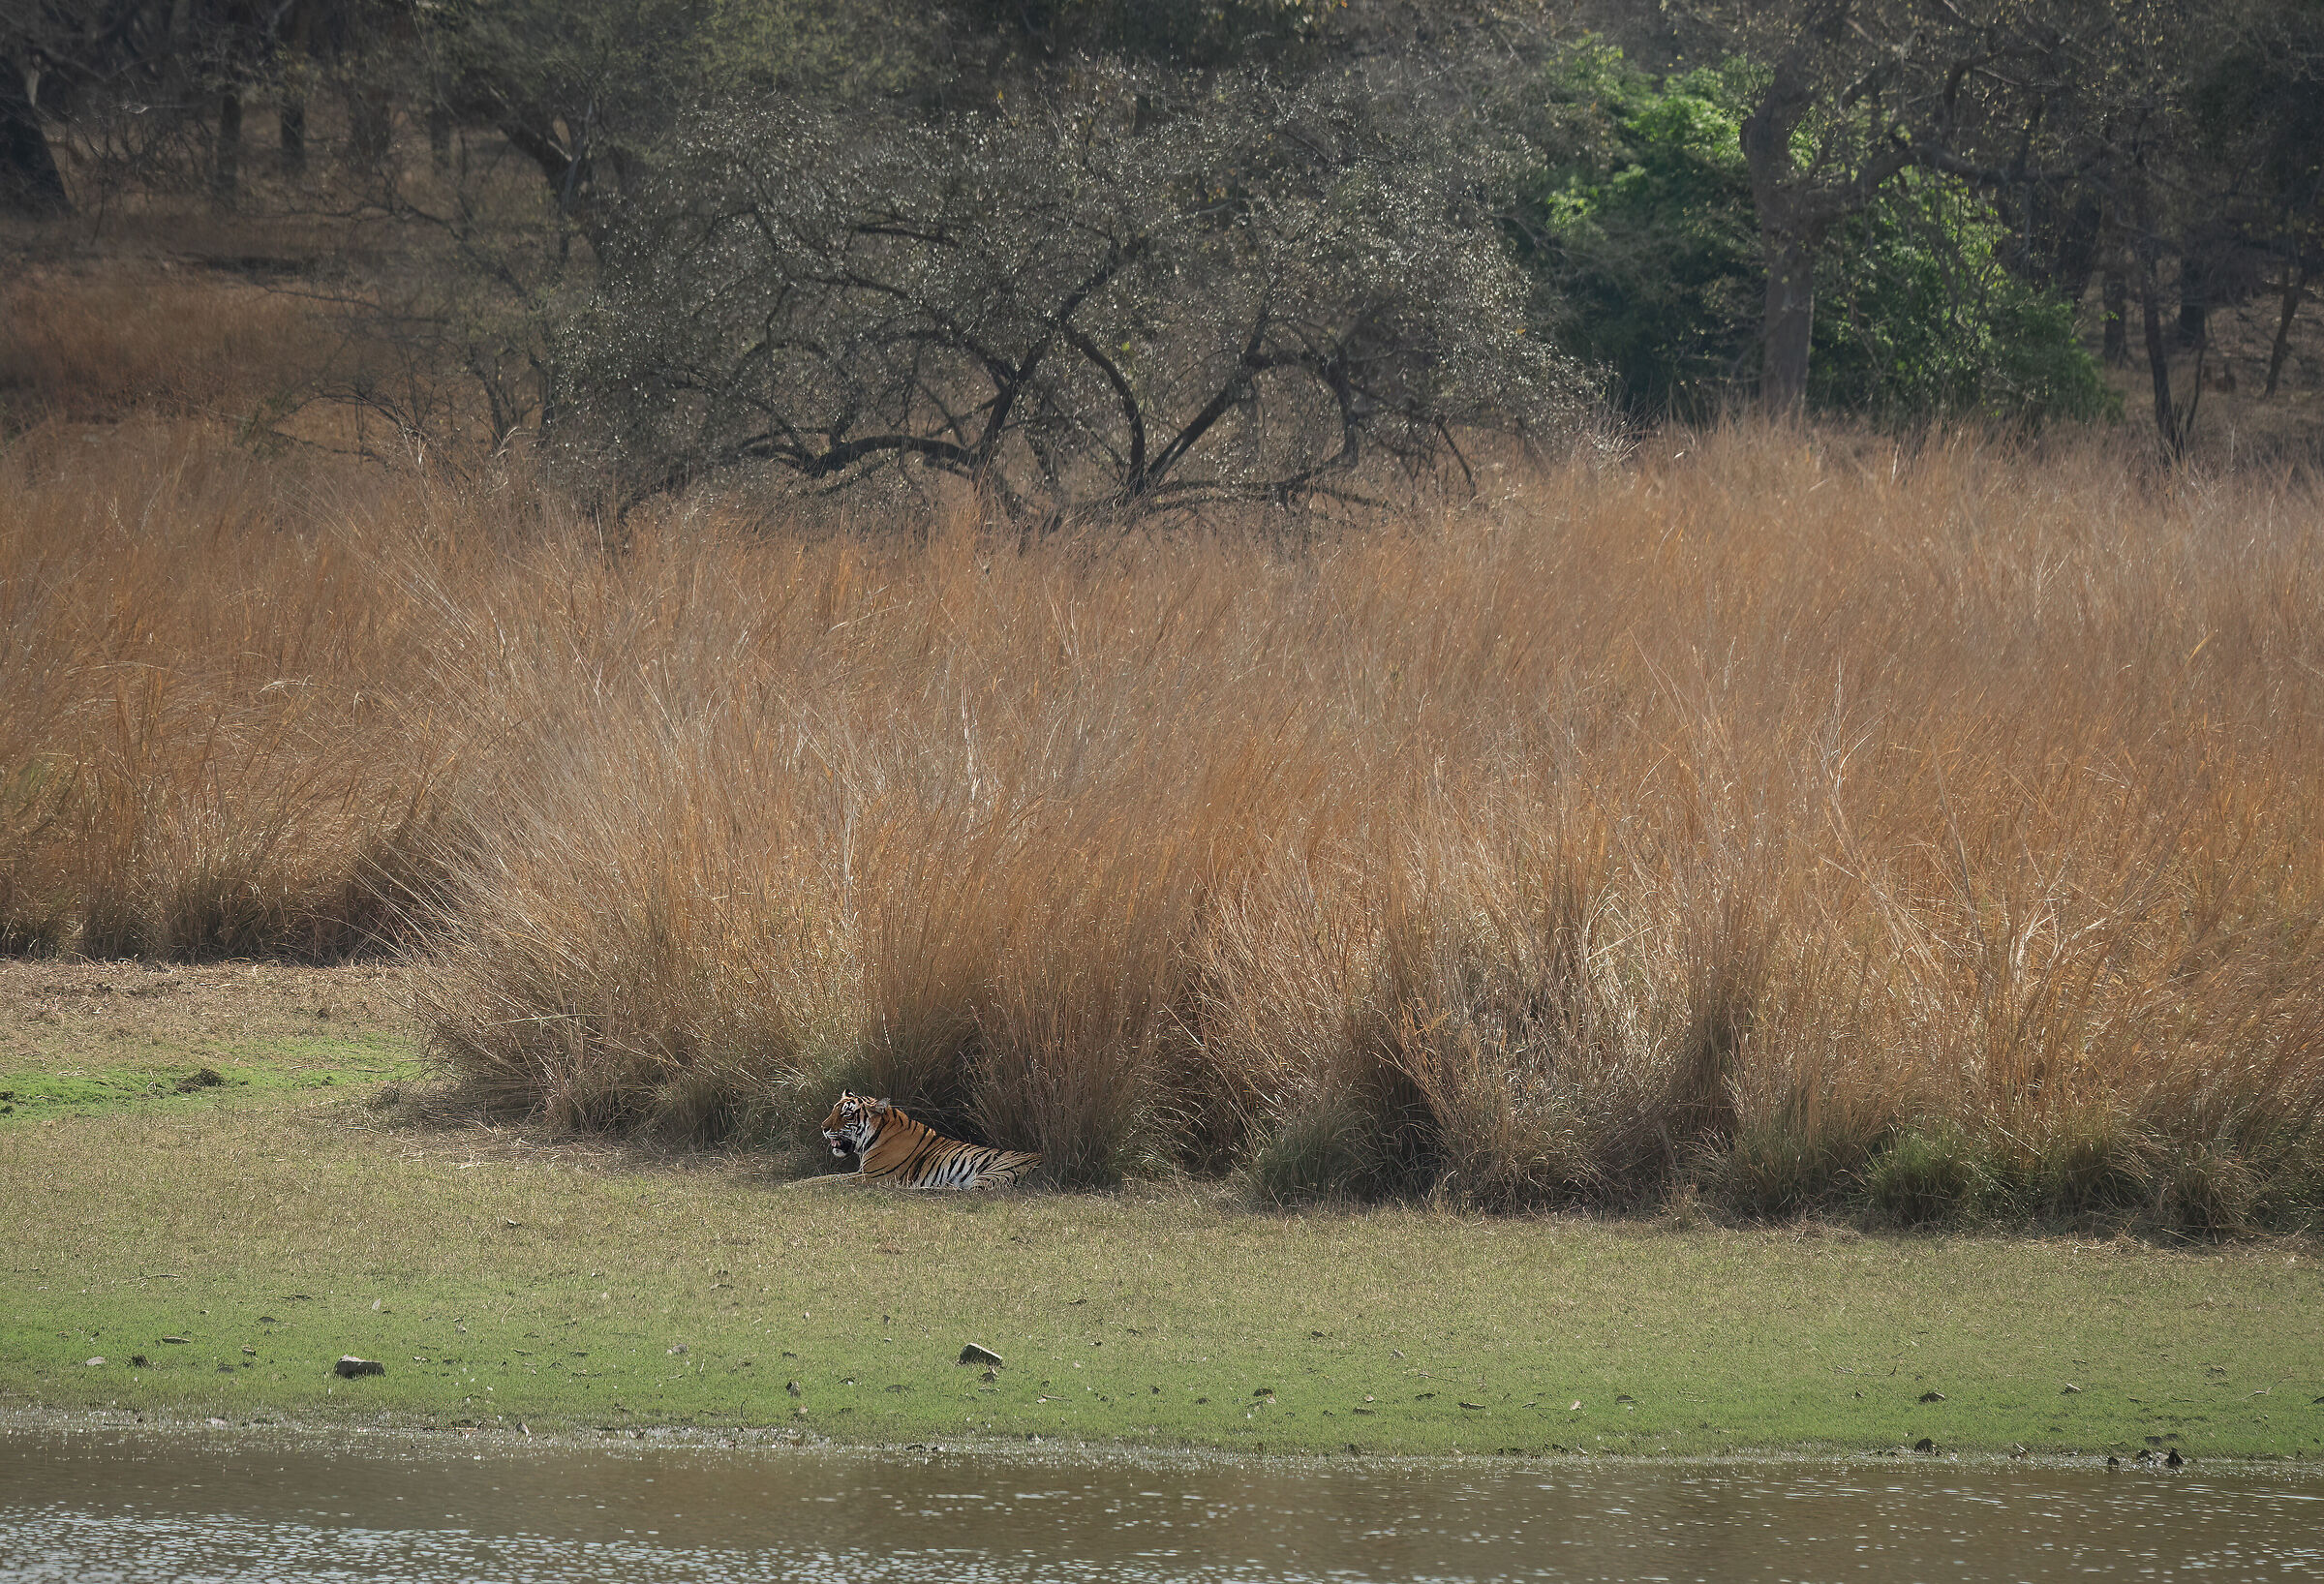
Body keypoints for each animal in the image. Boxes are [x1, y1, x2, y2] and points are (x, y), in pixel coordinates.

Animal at [798, 1092, 1041, 1190]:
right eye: (834, 1110)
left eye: (847, 1114)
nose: (823, 1128)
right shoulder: (862, 1172)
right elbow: (825, 1178)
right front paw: (797, 1183)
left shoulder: (874, 1176)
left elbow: (833, 1182)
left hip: (997, 1169)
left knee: (966, 1191)